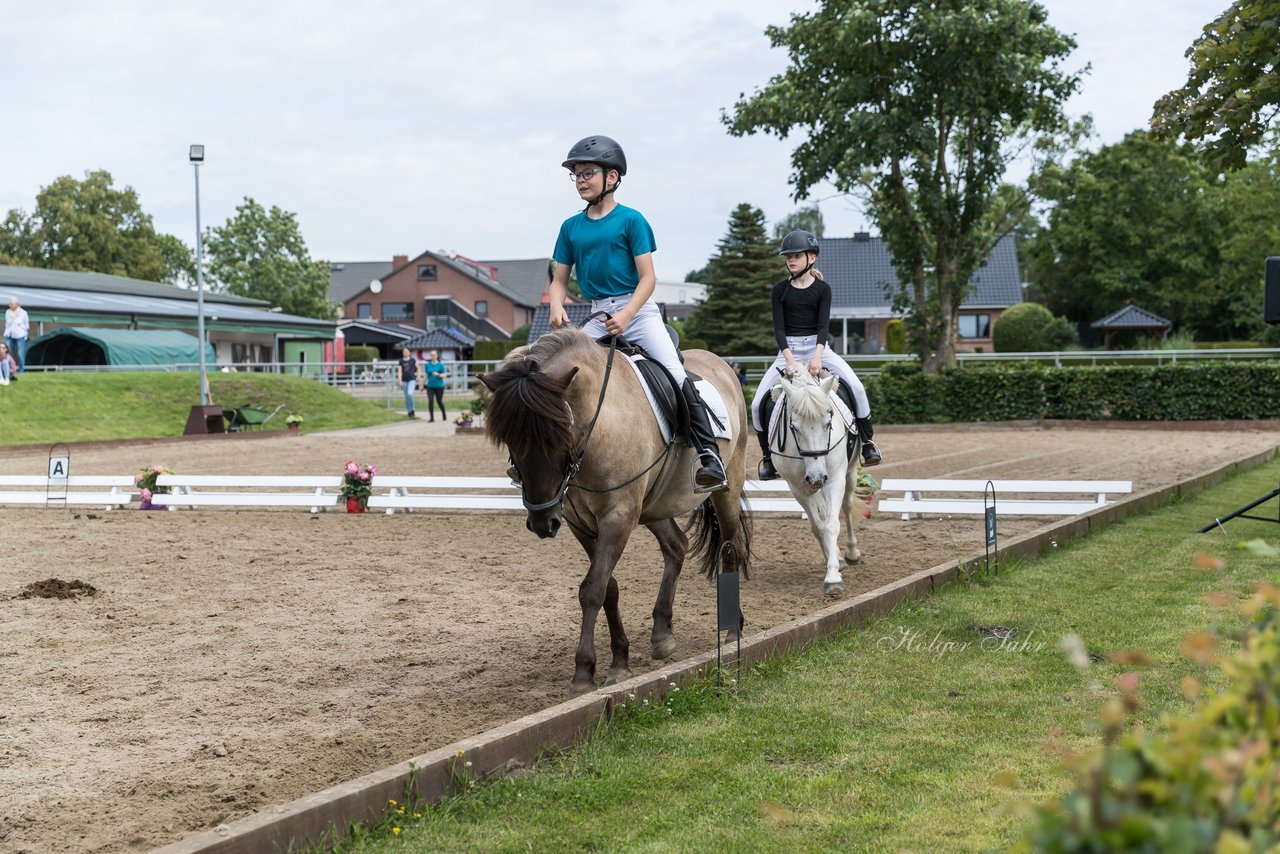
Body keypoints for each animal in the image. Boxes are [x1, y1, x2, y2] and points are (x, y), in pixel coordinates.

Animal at [762, 371, 865, 599]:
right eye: (793, 427)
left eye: (828, 423)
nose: (817, 477)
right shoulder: (798, 487)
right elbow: (819, 526)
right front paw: (833, 564)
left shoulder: (834, 480)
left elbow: (832, 524)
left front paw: (833, 578)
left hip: (849, 472)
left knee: (847, 507)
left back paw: (852, 552)